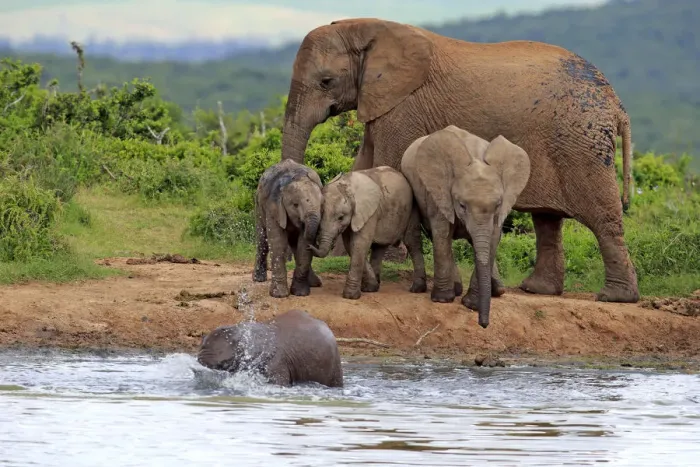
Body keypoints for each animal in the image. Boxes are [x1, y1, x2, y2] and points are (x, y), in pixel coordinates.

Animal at [252, 159, 324, 298]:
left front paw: (300, 294)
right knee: (263, 240)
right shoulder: (273, 207)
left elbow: (303, 247)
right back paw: (258, 279)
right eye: (295, 205)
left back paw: (315, 284)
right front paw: (279, 295)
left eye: (322, 205)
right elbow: (278, 243)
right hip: (258, 205)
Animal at [308, 166, 426, 299]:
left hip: (412, 208)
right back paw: (371, 288)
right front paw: (370, 286)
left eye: (341, 217)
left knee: (412, 242)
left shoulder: (369, 212)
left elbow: (359, 244)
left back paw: (417, 289)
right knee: (379, 247)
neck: (348, 183)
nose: (309, 245)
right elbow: (350, 245)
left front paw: (350, 296)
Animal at [401, 126, 531, 328]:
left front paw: (471, 304)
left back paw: (497, 291)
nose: (484, 324)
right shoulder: (439, 193)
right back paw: (440, 289)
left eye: (498, 205)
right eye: (462, 205)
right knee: (425, 236)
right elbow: (442, 233)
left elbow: (493, 239)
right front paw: (442, 300)